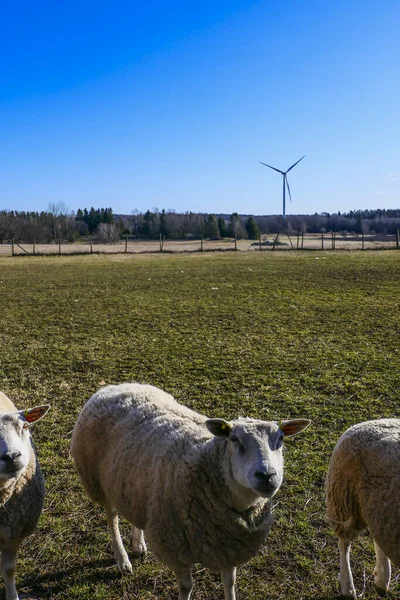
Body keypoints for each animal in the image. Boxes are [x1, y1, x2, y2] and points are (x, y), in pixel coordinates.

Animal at [71, 382, 310, 596]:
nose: (267, 476)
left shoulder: (228, 546)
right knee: (112, 519)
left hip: (130, 482)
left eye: (281, 439)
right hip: (99, 482)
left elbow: (230, 582)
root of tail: (113, 386)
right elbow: (186, 587)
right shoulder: (176, 547)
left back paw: (138, 544)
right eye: (234, 439)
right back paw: (122, 560)